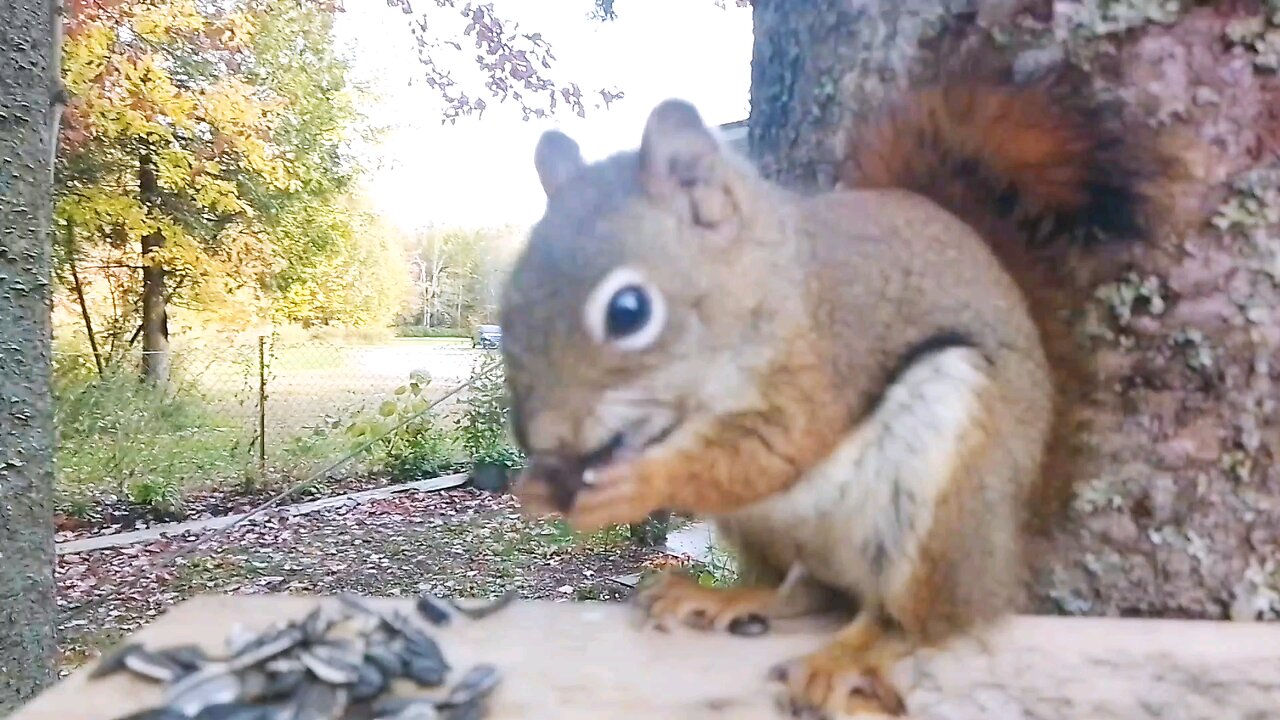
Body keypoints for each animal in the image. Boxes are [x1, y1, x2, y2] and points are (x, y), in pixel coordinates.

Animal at [494, 47, 1167, 712]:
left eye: (628, 311)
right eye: (510, 296)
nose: (542, 438)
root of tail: (1007, 546)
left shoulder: (826, 358)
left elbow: (776, 449)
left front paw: (635, 484)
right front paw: (535, 487)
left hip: (945, 485)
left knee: (926, 617)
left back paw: (854, 655)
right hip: (764, 529)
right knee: (806, 590)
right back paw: (729, 597)